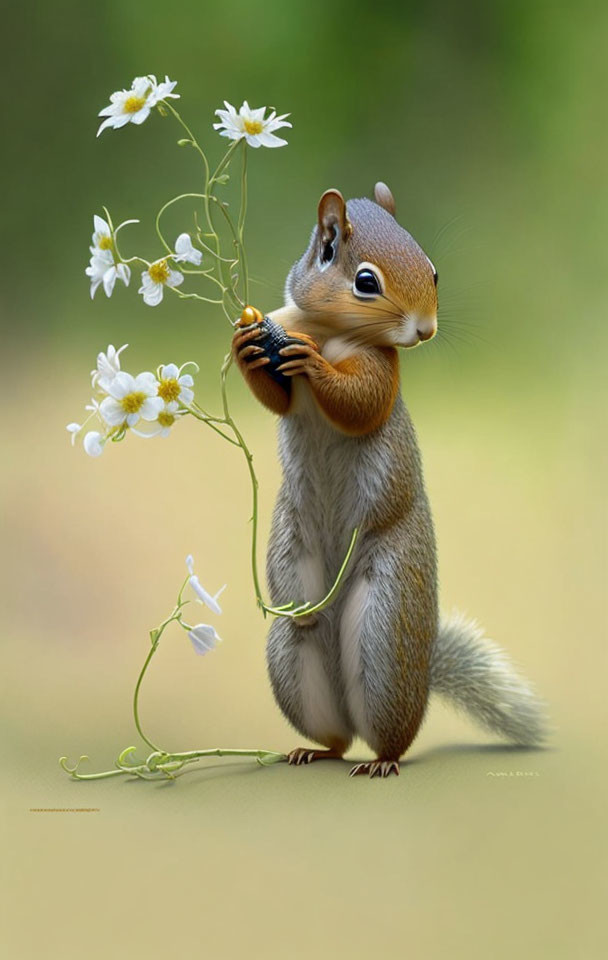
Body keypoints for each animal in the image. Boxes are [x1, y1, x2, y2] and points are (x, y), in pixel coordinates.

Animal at [232, 184, 548, 776]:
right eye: (365, 281)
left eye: (434, 271)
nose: (424, 330)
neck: (330, 332)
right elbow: (274, 396)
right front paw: (246, 347)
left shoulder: (382, 372)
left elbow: (358, 404)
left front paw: (316, 366)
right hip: (292, 642)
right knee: (334, 736)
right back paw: (313, 747)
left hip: (385, 628)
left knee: (390, 736)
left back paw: (381, 761)